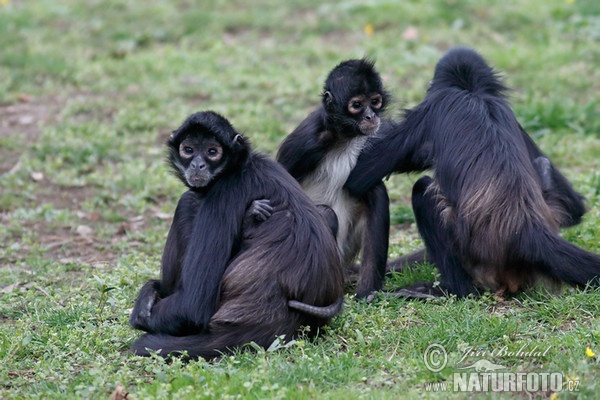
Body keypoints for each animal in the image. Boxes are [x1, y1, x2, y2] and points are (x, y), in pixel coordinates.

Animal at [130, 110, 346, 360]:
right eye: (188, 149)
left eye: (212, 152)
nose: (198, 164)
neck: (241, 166)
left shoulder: (224, 191)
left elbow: (191, 306)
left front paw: (144, 303)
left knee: (187, 202)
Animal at [278, 58, 392, 296]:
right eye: (357, 105)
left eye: (375, 101)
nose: (371, 116)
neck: (342, 136)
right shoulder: (305, 140)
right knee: (325, 214)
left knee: (375, 192)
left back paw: (366, 294)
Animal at [344, 47, 596, 296]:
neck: (472, 92)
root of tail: (528, 230)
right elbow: (575, 208)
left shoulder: (433, 107)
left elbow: (356, 180)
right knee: (543, 165)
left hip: (476, 257)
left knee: (423, 190)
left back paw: (451, 289)